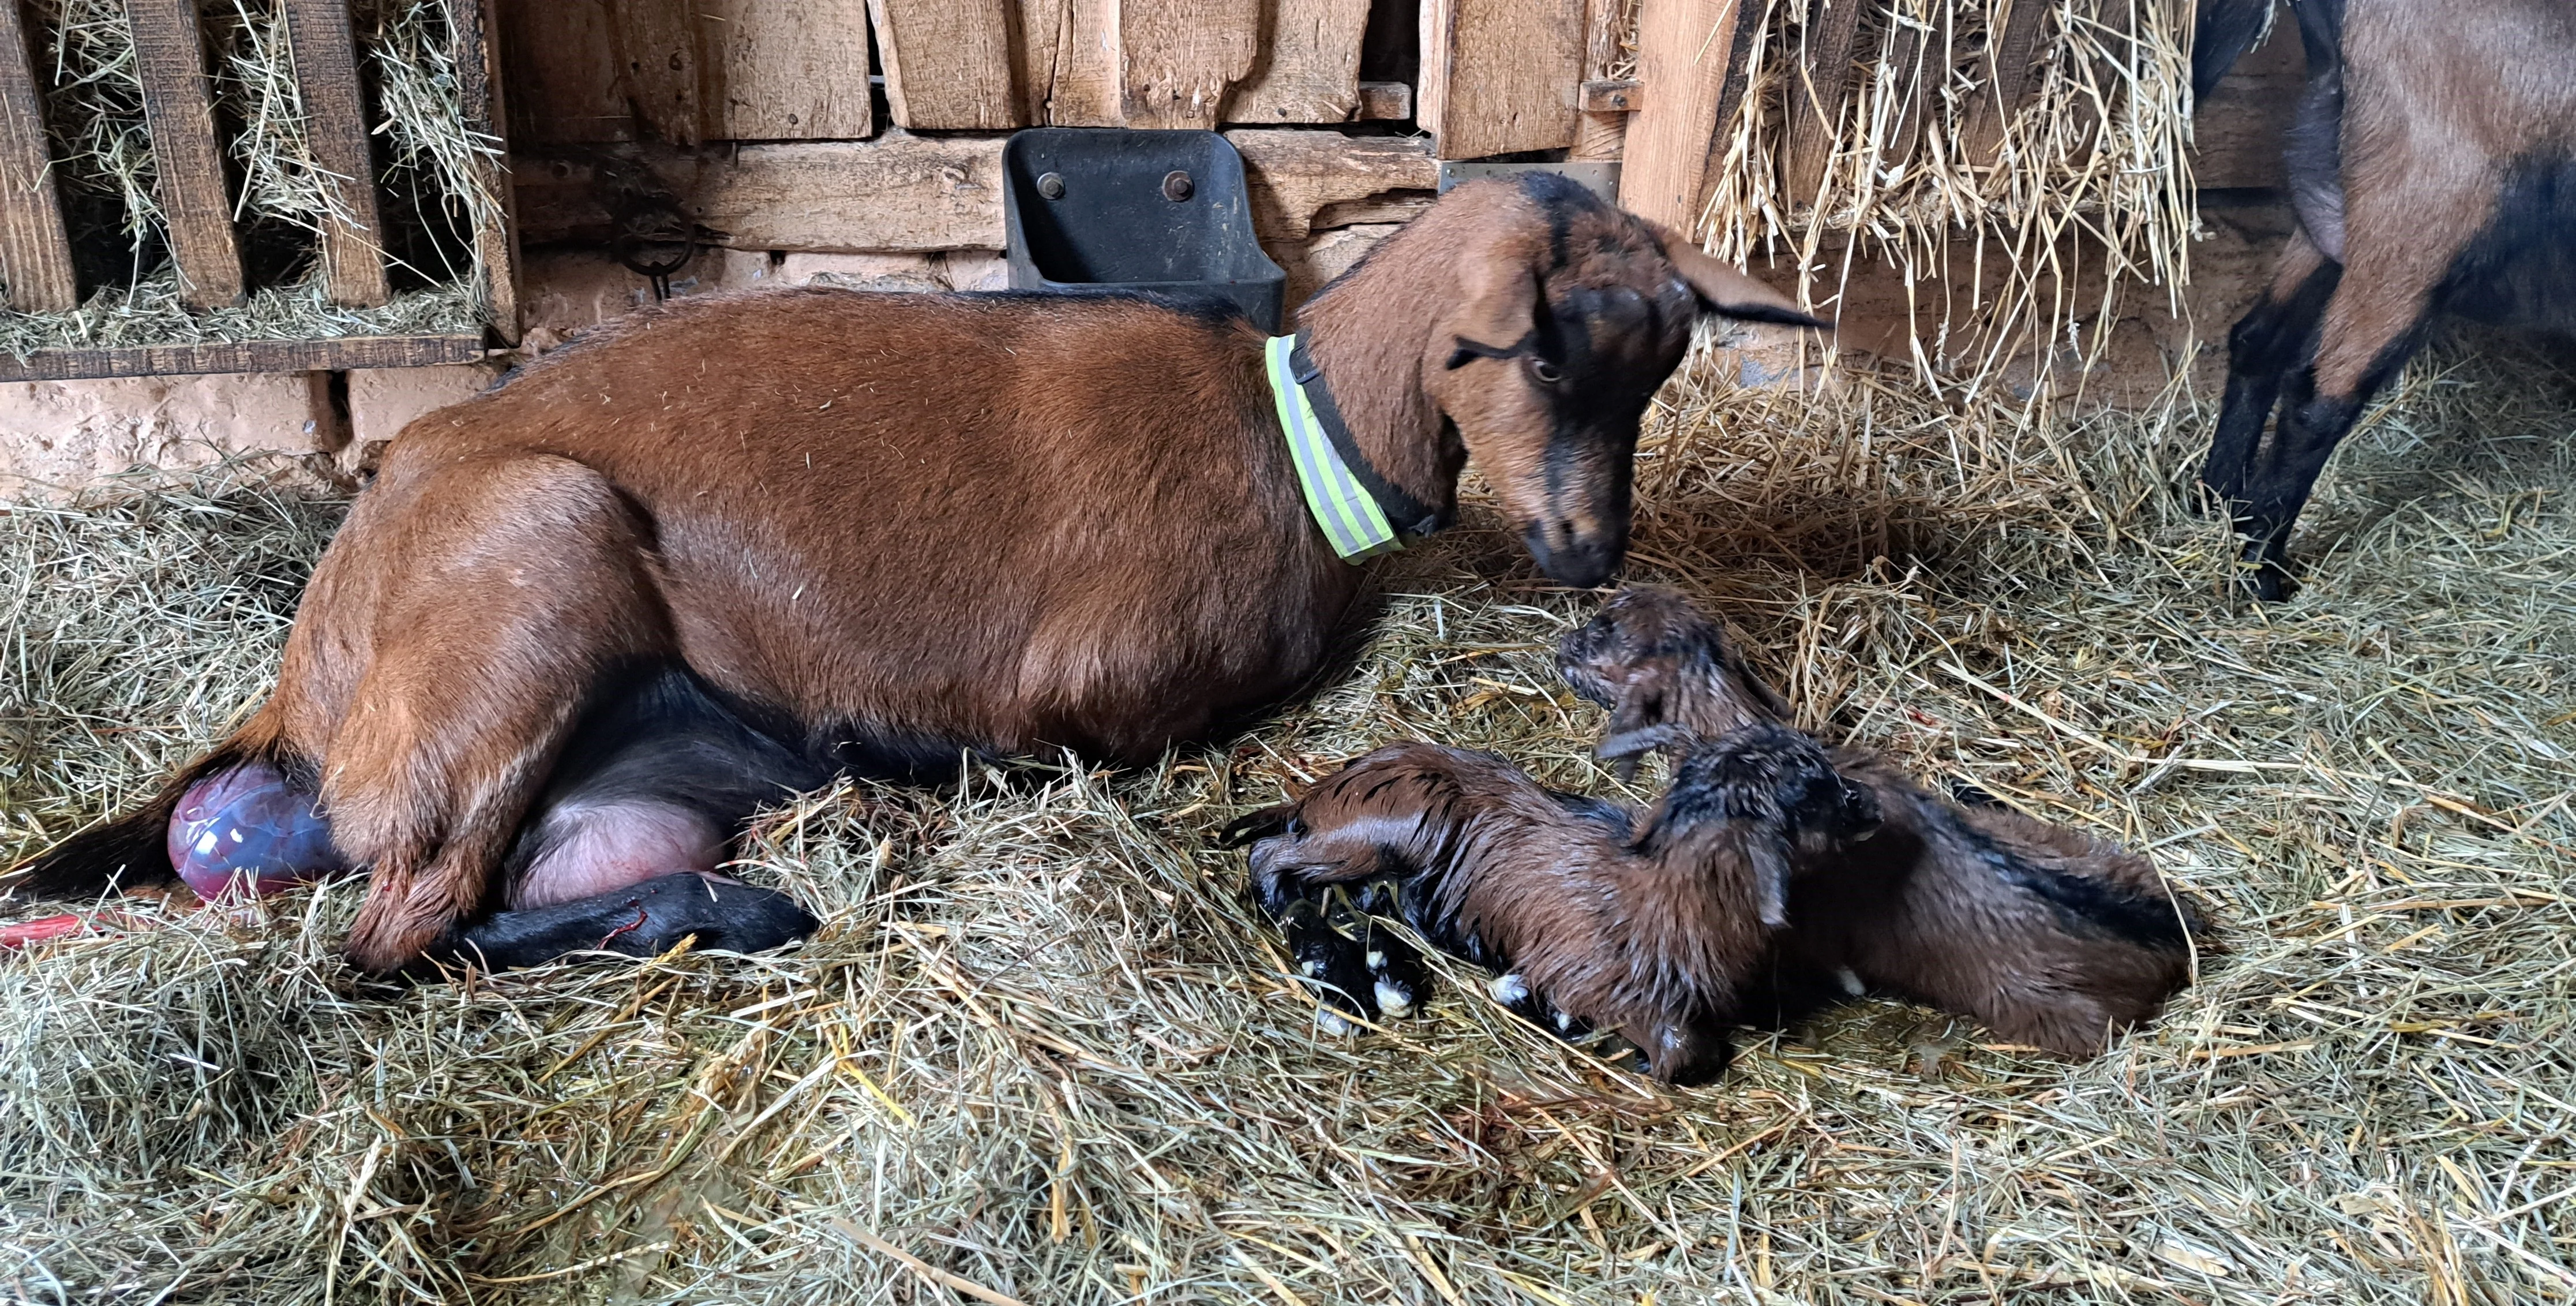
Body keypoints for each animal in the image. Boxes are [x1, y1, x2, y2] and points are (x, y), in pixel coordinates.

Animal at [1, 175, 1819, 975]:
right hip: (535, 568)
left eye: (1661, 365)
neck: (1294, 444)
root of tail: (302, 674)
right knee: (390, 938)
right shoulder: (1096, 688)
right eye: (1536, 352)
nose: (1590, 547)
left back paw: (733, 891)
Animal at [1223, 728, 1883, 1084]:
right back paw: (1278, 906)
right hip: (1384, 827)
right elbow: (1685, 1051)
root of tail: (1323, 787)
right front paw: (1633, 1058)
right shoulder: (1592, 976)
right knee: (1271, 851)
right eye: (1807, 798)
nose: (1868, 804)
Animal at [2193, 0, 2576, 598]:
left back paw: (2217, 499)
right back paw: (2262, 575)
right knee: (2318, 400)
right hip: (2422, 215)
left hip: (2333, 208)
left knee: (2258, 341)